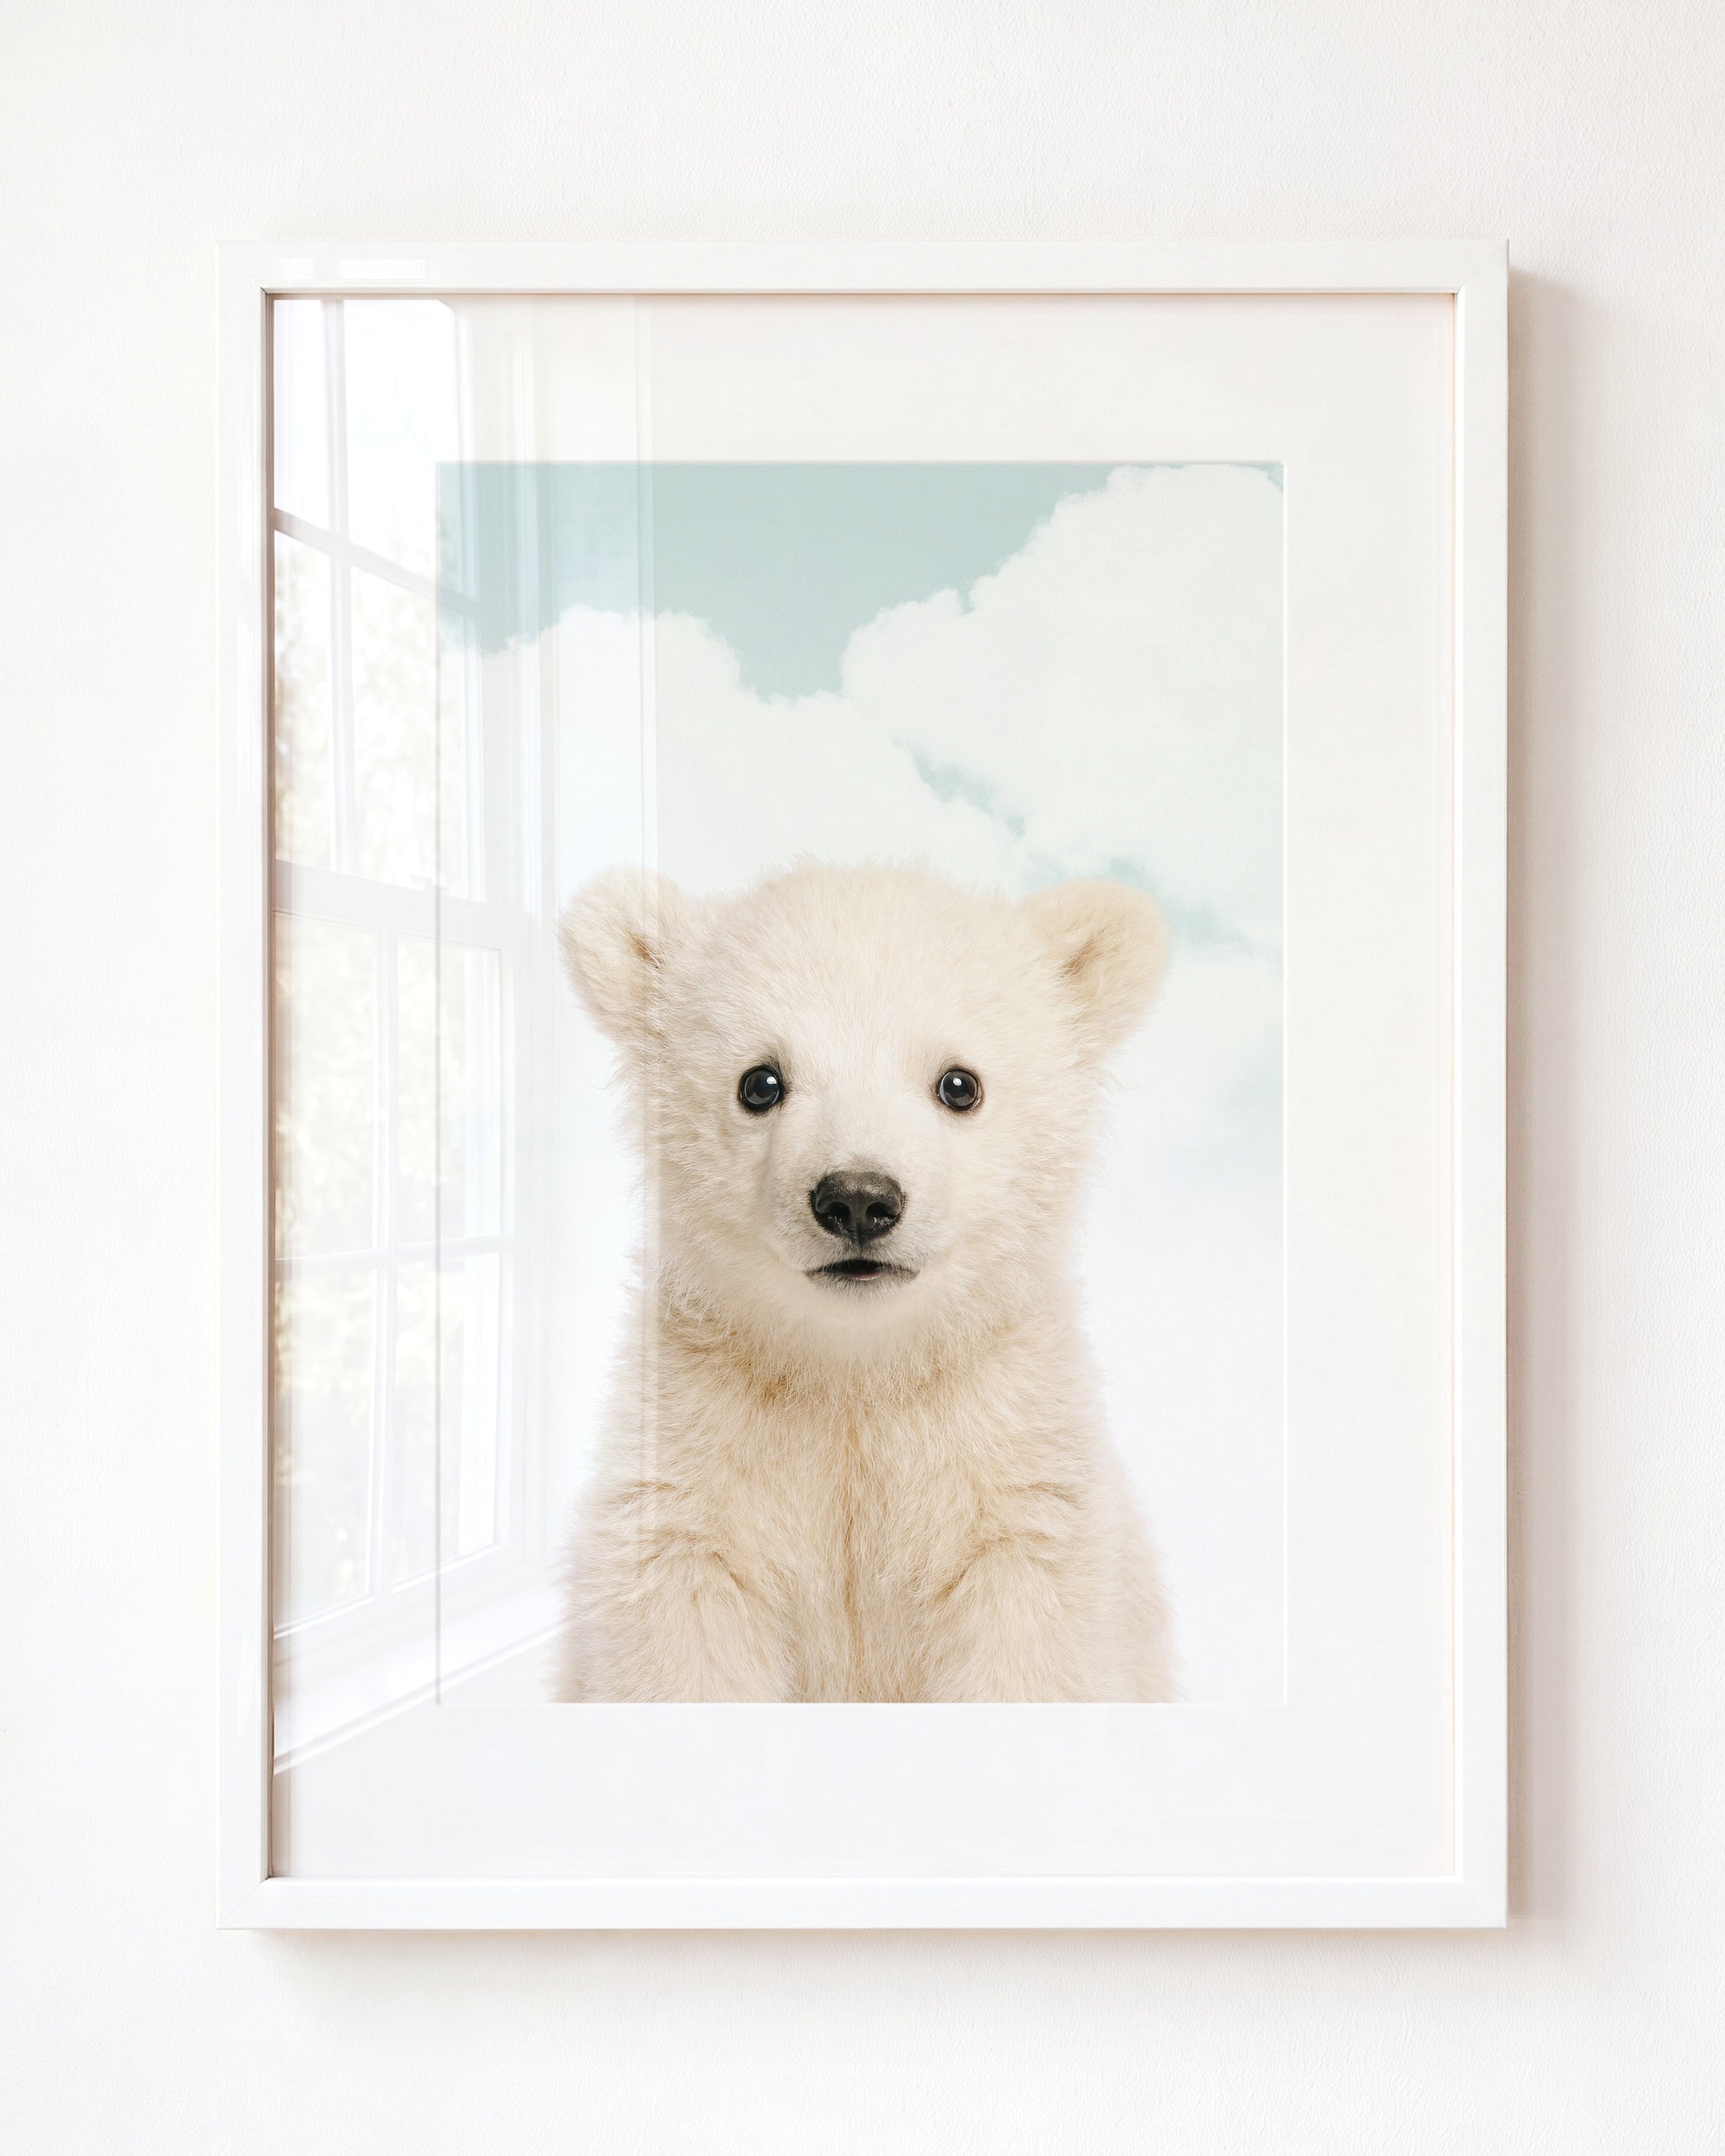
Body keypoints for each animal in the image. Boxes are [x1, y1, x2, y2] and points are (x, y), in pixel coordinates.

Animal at [553, 860, 1175, 1703]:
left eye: (959, 1084)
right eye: (760, 1082)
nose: (857, 1198)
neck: (858, 1371)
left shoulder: (1011, 1470)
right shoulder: (695, 1458)